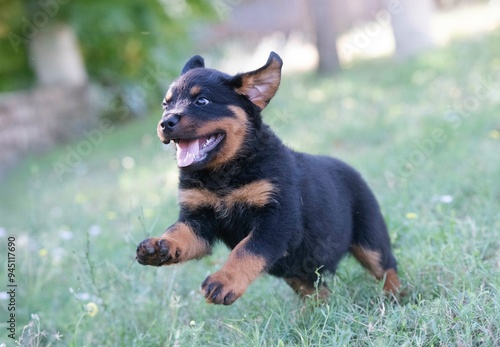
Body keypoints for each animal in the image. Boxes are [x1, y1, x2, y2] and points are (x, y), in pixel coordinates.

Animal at [135, 51, 400, 304]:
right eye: (165, 104)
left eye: (202, 101)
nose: (165, 122)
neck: (222, 174)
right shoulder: (198, 220)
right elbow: (178, 231)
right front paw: (158, 246)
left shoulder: (277, 219)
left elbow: (246, 250)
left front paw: (223, 281)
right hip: (299, 272)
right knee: (317, 290)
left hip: (370, 237)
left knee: (387, 266)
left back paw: (395, 296)